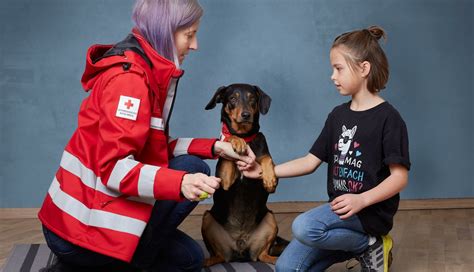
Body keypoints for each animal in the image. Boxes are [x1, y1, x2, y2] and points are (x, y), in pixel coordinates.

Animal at [200, 84, 286, 266]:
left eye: (252, 98)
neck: (246, 136)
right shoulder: (225, 181)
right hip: (207, 217)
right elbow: (230, 137)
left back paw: (277, 260)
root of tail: (240, 252)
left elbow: (267, 158)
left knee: (262, 256)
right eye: (233, 98)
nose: (246, 115)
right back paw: (205, 261)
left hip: (270, 218)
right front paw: (236, 141)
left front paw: (269, 179)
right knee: (219, 256)